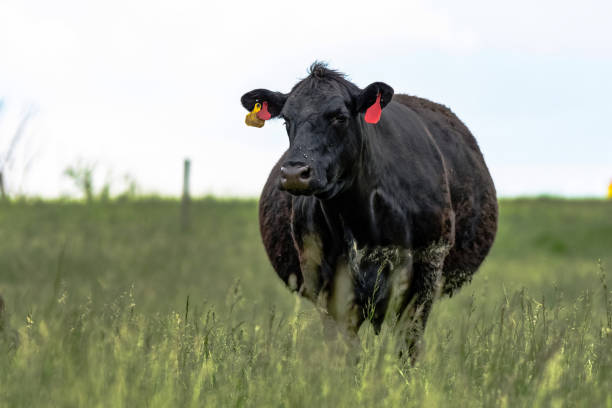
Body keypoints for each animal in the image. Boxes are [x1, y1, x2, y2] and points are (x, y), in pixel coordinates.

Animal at [239, 63, 498, 360]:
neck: (361, 220)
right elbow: (343, 351)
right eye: (286, 120)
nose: (294, 173)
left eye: (339, 117)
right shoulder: (321, 278)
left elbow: (407, 348)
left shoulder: (427, 269)